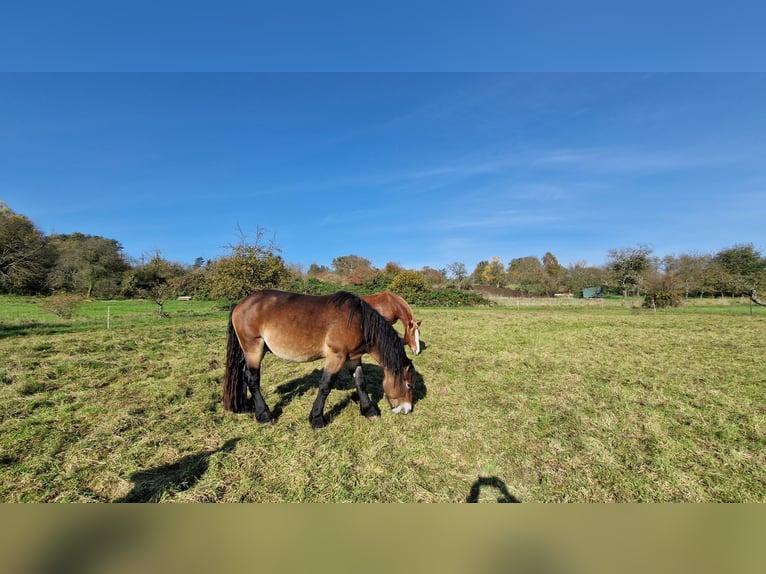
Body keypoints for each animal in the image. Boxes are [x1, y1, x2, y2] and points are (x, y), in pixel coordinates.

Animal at [225, 290, 416, 430]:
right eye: (408, 385)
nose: (407, 409)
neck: (358, 321)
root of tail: (241, 304)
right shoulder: (336, 357)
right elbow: (325, 386)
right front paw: (316, 419)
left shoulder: (353, 358)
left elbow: (361, 383)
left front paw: (369, 410)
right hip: (254, 350)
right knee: (252, 379)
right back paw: (265, 415)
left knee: (244, 375)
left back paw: (246, 407)